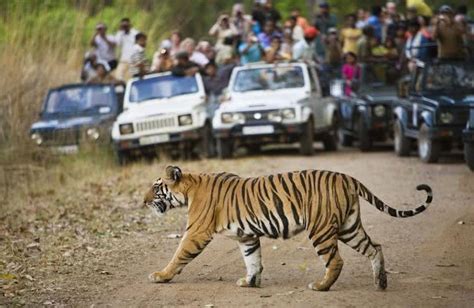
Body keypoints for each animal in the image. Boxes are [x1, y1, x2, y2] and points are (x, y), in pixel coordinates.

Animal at [144, 166, 434, 292]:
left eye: (156, 188)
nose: (143, 201)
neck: (190, 187)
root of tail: (347, 177)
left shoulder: (196, 232)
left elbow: (178, 255)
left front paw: (161, 275)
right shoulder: (247, 235)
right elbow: (253, 260)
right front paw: (250, 282)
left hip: (321, 229)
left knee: (336, 261)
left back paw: (320, 286)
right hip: (349, 227)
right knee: (375, 247)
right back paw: (380, 282)